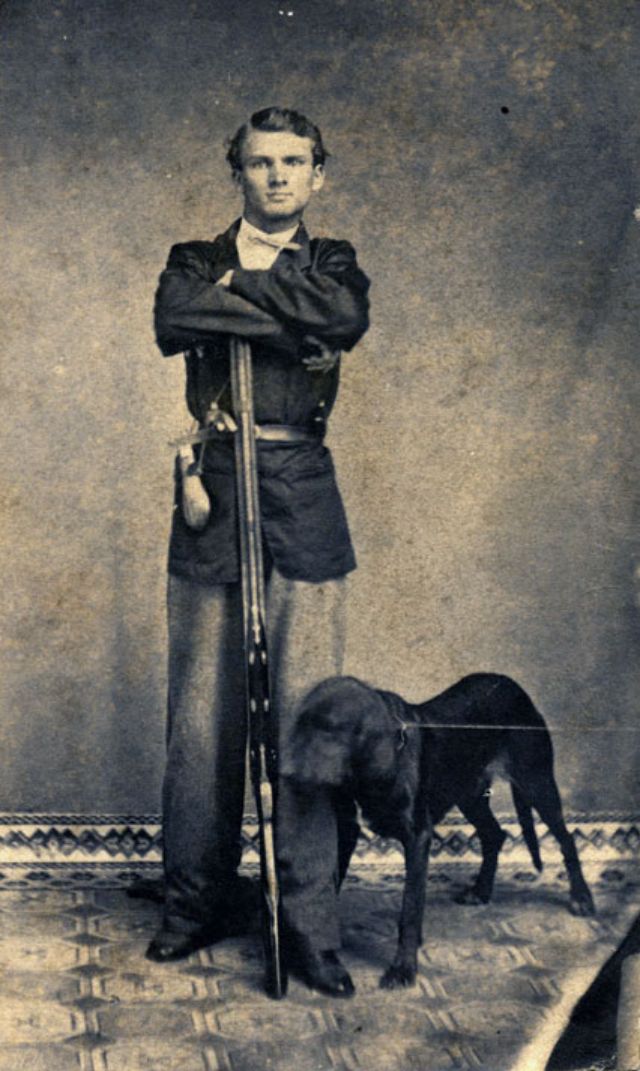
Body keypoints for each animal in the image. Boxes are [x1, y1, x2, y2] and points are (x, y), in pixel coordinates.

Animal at [286, 672, 595, 989]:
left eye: (329, 729)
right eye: (300, 723)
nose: (287, 771)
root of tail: (513, 687)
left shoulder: (417, 838)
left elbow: (409, 911)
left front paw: (403, 969)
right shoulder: (346, 832)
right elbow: (330, 886)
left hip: (536, 783)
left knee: (566, 839)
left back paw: (581, 898)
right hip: (470, 795)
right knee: (494, 835)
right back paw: (481, 891)